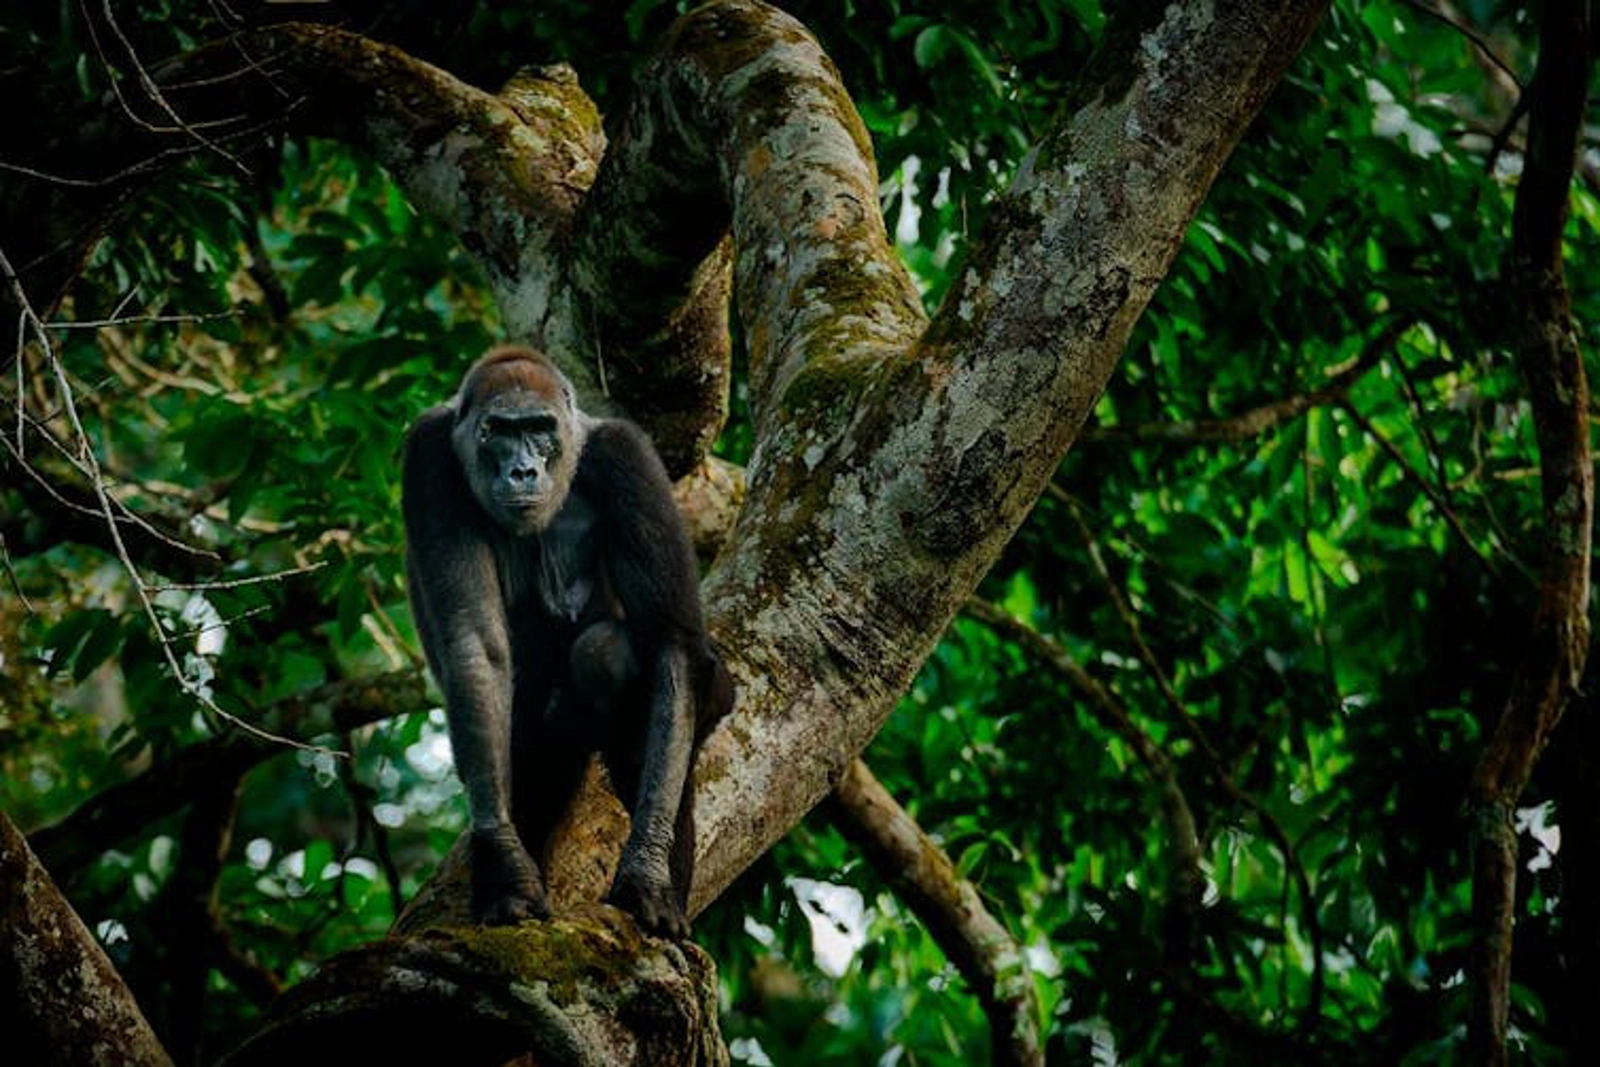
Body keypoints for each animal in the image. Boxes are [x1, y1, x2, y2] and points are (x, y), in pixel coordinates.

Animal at [401, 345, 732, 937]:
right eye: (499, 431)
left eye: (539, 429)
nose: (522, 470)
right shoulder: (427, 456)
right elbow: (476, 647)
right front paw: (506, 867)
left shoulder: (626, 455)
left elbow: (670, 641)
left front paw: (648, 872)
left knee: (613, 662)